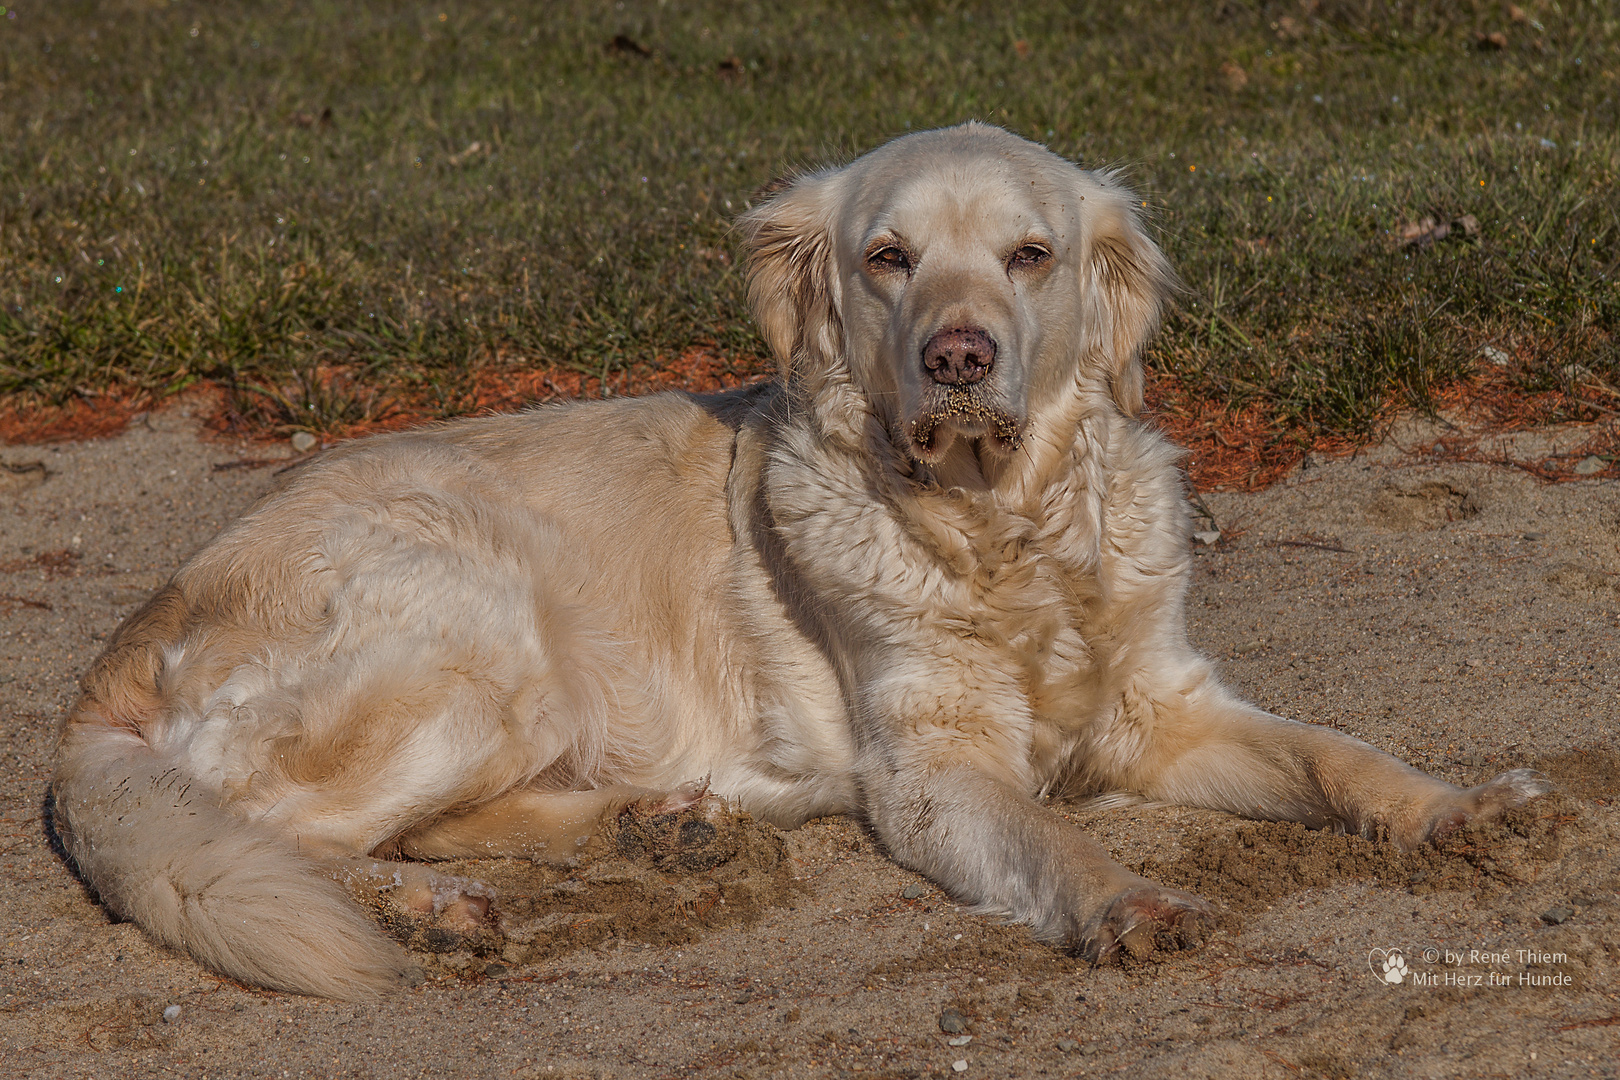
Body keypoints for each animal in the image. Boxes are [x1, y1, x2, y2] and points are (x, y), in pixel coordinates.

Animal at [47, 124, 1542, 997]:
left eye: (1030, 255)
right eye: (887, 257)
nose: (958, 354)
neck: (1003, 533)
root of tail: (142, 622)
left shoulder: (1167, 709)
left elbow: (1337, 754)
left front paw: (1455, 809)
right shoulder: (933, 774)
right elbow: (1051, 836)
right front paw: (1126, 903)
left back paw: (663, 826)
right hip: (476, 622)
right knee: (271, 828)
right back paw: (428, 909)